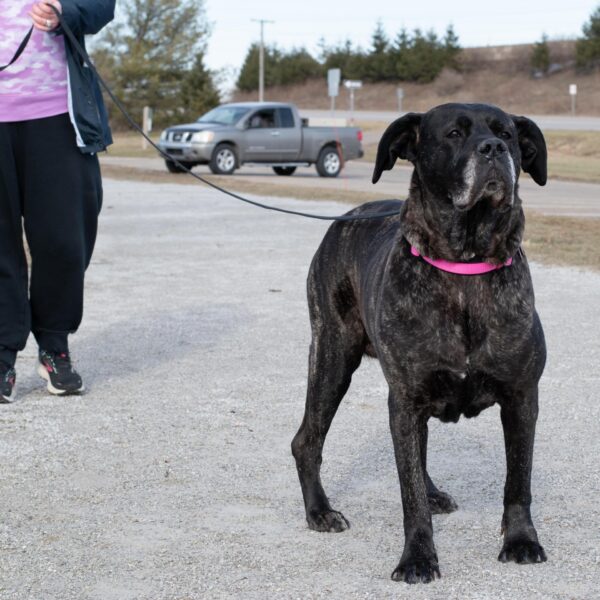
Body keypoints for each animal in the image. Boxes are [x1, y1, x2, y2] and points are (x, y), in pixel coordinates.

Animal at [290, 102, 548, 580]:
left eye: (506, 132)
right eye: (453, 134)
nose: (494, 148)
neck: (465, 267)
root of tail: (347, 217)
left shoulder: (522, 396)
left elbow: (518, 479)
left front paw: (521, 540)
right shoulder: (406, 398)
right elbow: (408, 492)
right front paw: (418, 556)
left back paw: (432, 492)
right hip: (333, 358)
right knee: (307, 441)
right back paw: (320, 511)